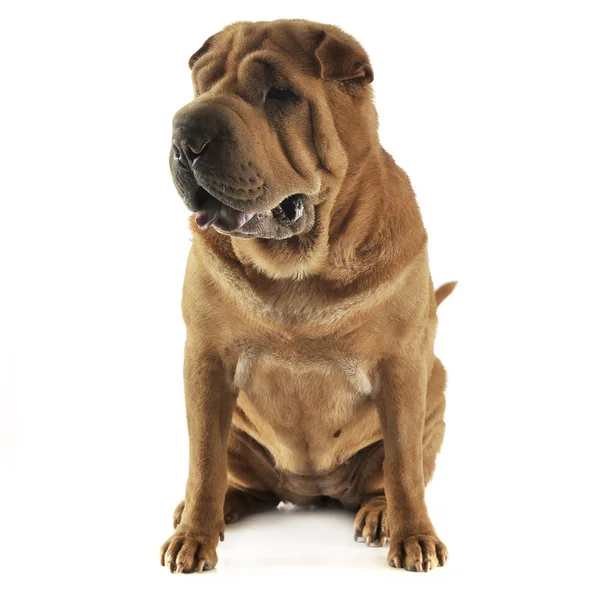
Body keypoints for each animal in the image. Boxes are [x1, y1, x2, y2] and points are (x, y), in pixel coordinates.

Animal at [159, 17, 454, 572]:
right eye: (201, 86)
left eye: (279, 93)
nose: (186, 137)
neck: (298, 269)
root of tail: (310, 491)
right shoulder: (205, 360)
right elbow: (203, 459)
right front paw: (194, 535)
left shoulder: (403, 366)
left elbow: (403, 466)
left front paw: (414, 538)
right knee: (235, 478)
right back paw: (212, 507)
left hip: (437, 387)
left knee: (390, 477)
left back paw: (379, 514)